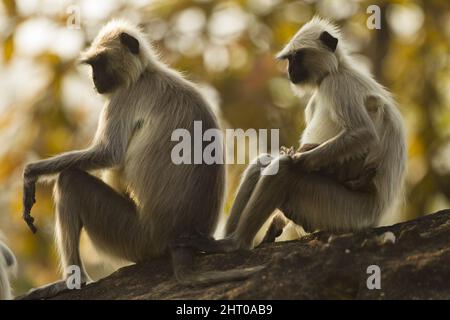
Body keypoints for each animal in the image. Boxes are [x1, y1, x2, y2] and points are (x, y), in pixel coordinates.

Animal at [21, 19, 260, 300]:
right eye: (92, 66)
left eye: (99, 64)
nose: (94, 80)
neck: (145, 73)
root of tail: (180, 237)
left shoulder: (123, 97)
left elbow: (108, 154)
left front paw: (30, 174)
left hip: (138, 236)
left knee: (70, 181)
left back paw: (73, 282)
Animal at [181, 18, 406, 255]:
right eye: (289, 59)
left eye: (297, 57)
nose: (290, 70)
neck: (337, 70)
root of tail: (377, 215)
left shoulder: (337, 85)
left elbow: (364, 134)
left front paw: (299, 158)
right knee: (262, 164)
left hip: (344, 211)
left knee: (284, 170)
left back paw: (235, 243)